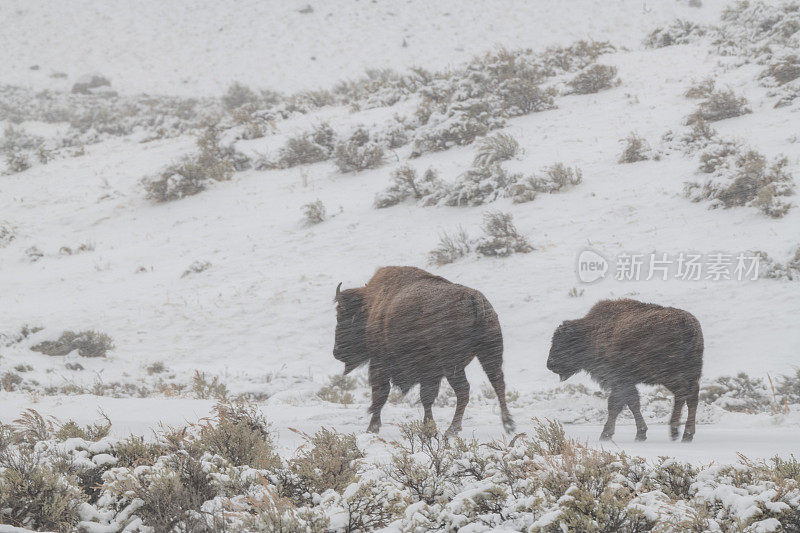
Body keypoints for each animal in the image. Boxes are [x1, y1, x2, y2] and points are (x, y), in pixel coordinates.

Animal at [332, 264, 516, 434]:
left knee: (464, 390)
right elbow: (426, 398)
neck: (371, 305)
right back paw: (508, 424)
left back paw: (452, 429)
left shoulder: (380, 362)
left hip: (453, 364)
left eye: (342, 316)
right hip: (489, 353)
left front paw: (372, 428)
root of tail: (474, 298)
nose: (336, 352)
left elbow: (381, 394)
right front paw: (429, 428)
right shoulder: (429, 372)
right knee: (497, 382)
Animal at [548, 300, 704, 440]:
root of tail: (688, 325)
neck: (592, 332)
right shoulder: (624, 383)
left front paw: (608, 434)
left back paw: (676, 431)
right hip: (692, 373)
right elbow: (630, 403)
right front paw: (639, 433)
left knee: (682, 394)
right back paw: (687, 434)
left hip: (669, 375)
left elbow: (618, 404)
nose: (550, 364)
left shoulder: (619, 380)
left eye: (563, 341)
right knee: (692, 397)